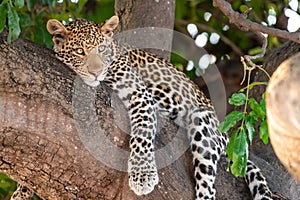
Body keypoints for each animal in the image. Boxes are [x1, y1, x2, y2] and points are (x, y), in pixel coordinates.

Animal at [35, 14, 286, 199]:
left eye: (102, 49)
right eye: (80, 52)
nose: (96, 72)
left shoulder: (139, 92)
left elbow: (143, 133)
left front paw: (143, 176)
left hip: (203, 123)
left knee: (207, 183)